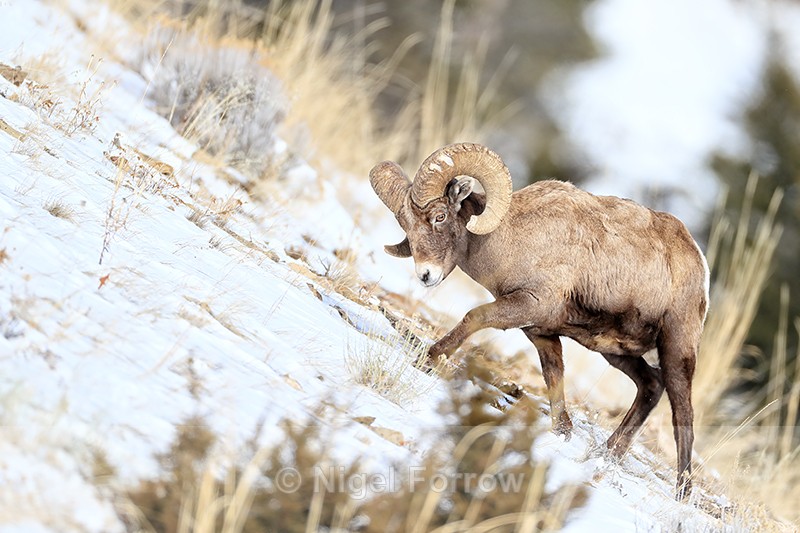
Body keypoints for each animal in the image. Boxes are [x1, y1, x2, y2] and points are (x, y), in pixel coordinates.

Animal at [369, 142, 709, 500]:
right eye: (407, 225)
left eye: (440, 216)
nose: (425, 275)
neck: (512, 238)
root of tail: (698, 260)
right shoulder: (541, 334)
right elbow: (553, 377)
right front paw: (562, 432)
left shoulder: (527, 306)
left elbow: (475, 317)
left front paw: (429, 359)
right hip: (615, 352)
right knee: (650, 386)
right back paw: (610, 453)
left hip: (676, 350)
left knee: (682, 411)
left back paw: (682, 490)